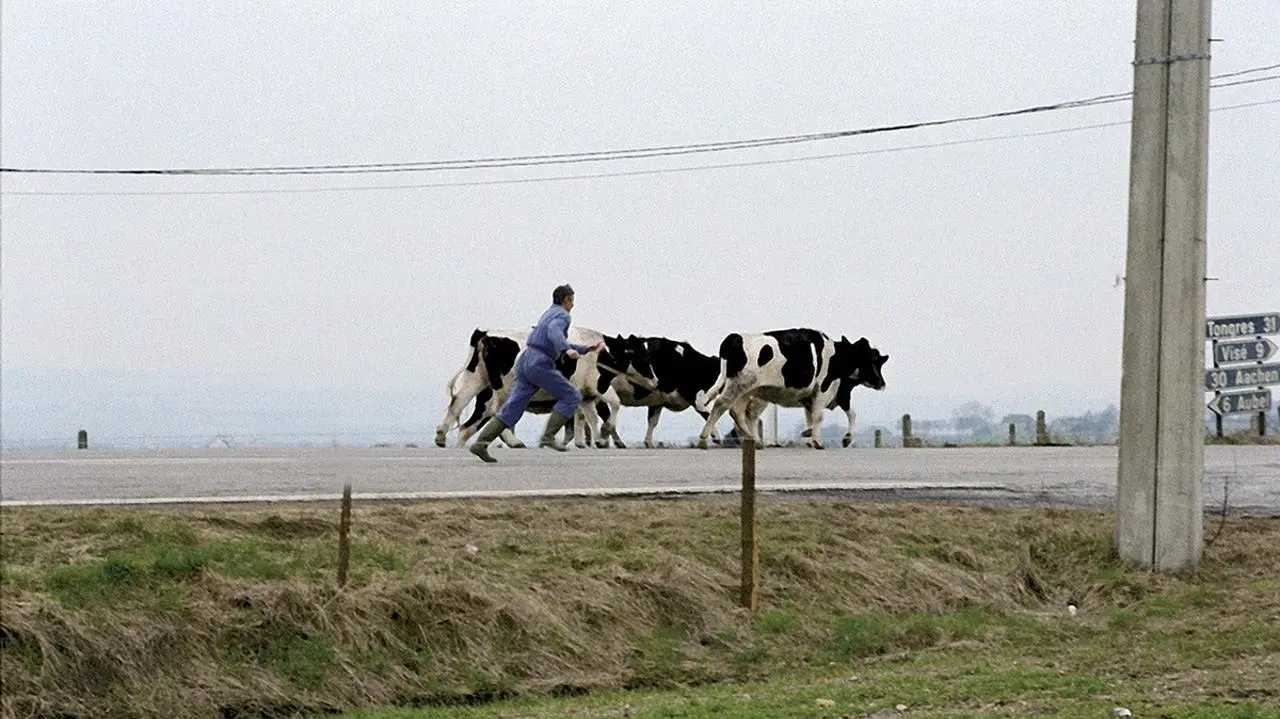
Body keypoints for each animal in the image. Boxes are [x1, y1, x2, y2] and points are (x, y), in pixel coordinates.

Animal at [696, 326, 885, 447]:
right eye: (871, 360)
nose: (882, 383)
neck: (835, 356)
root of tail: (733, 338)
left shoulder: (814, 397)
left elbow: (814, 417)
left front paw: (810, 436)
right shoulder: (826, 390)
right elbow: (821, 416)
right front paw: (819, 441)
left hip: (744, 389)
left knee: (738, 412)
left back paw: (753, 439)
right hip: (740, 386)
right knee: (723, 404)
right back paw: (706, 435)